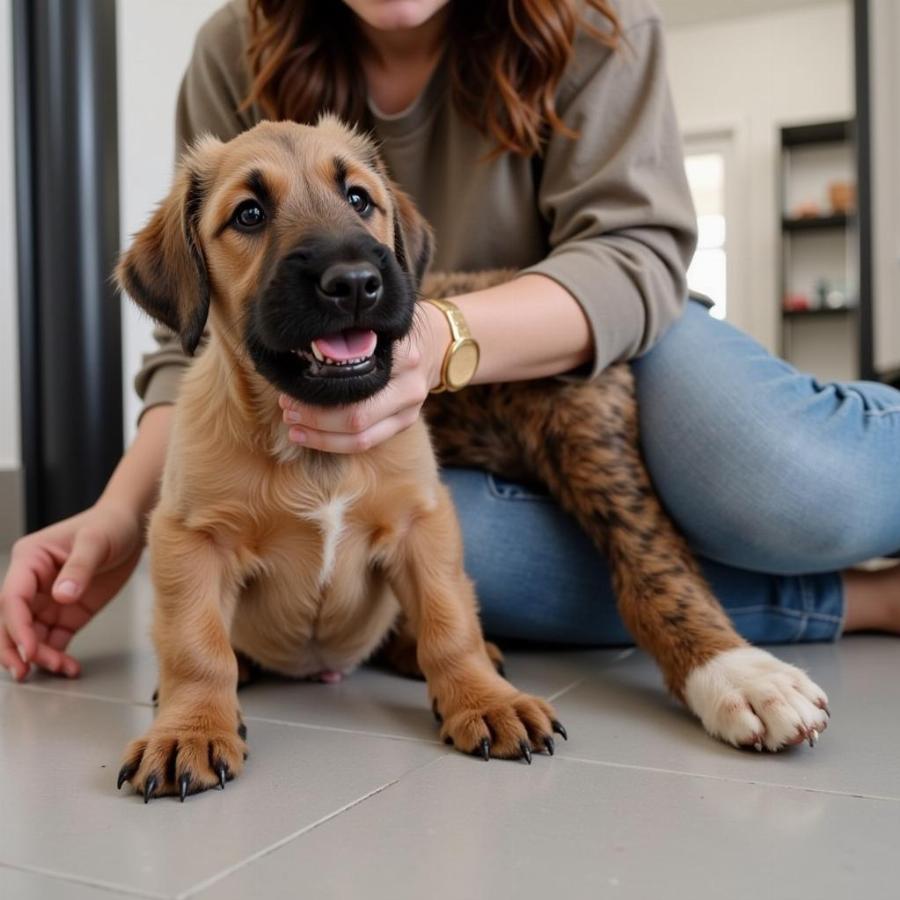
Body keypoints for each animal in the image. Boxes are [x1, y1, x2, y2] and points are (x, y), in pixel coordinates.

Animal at [112, 118, 564, 800]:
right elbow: (196, 645)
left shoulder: (422, 522)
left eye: (358, 198)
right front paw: (190, 730)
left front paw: (484, 700)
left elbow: (449, 621)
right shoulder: (189, 536)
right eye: (249, 214)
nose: (353, 282)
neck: (310, 446)